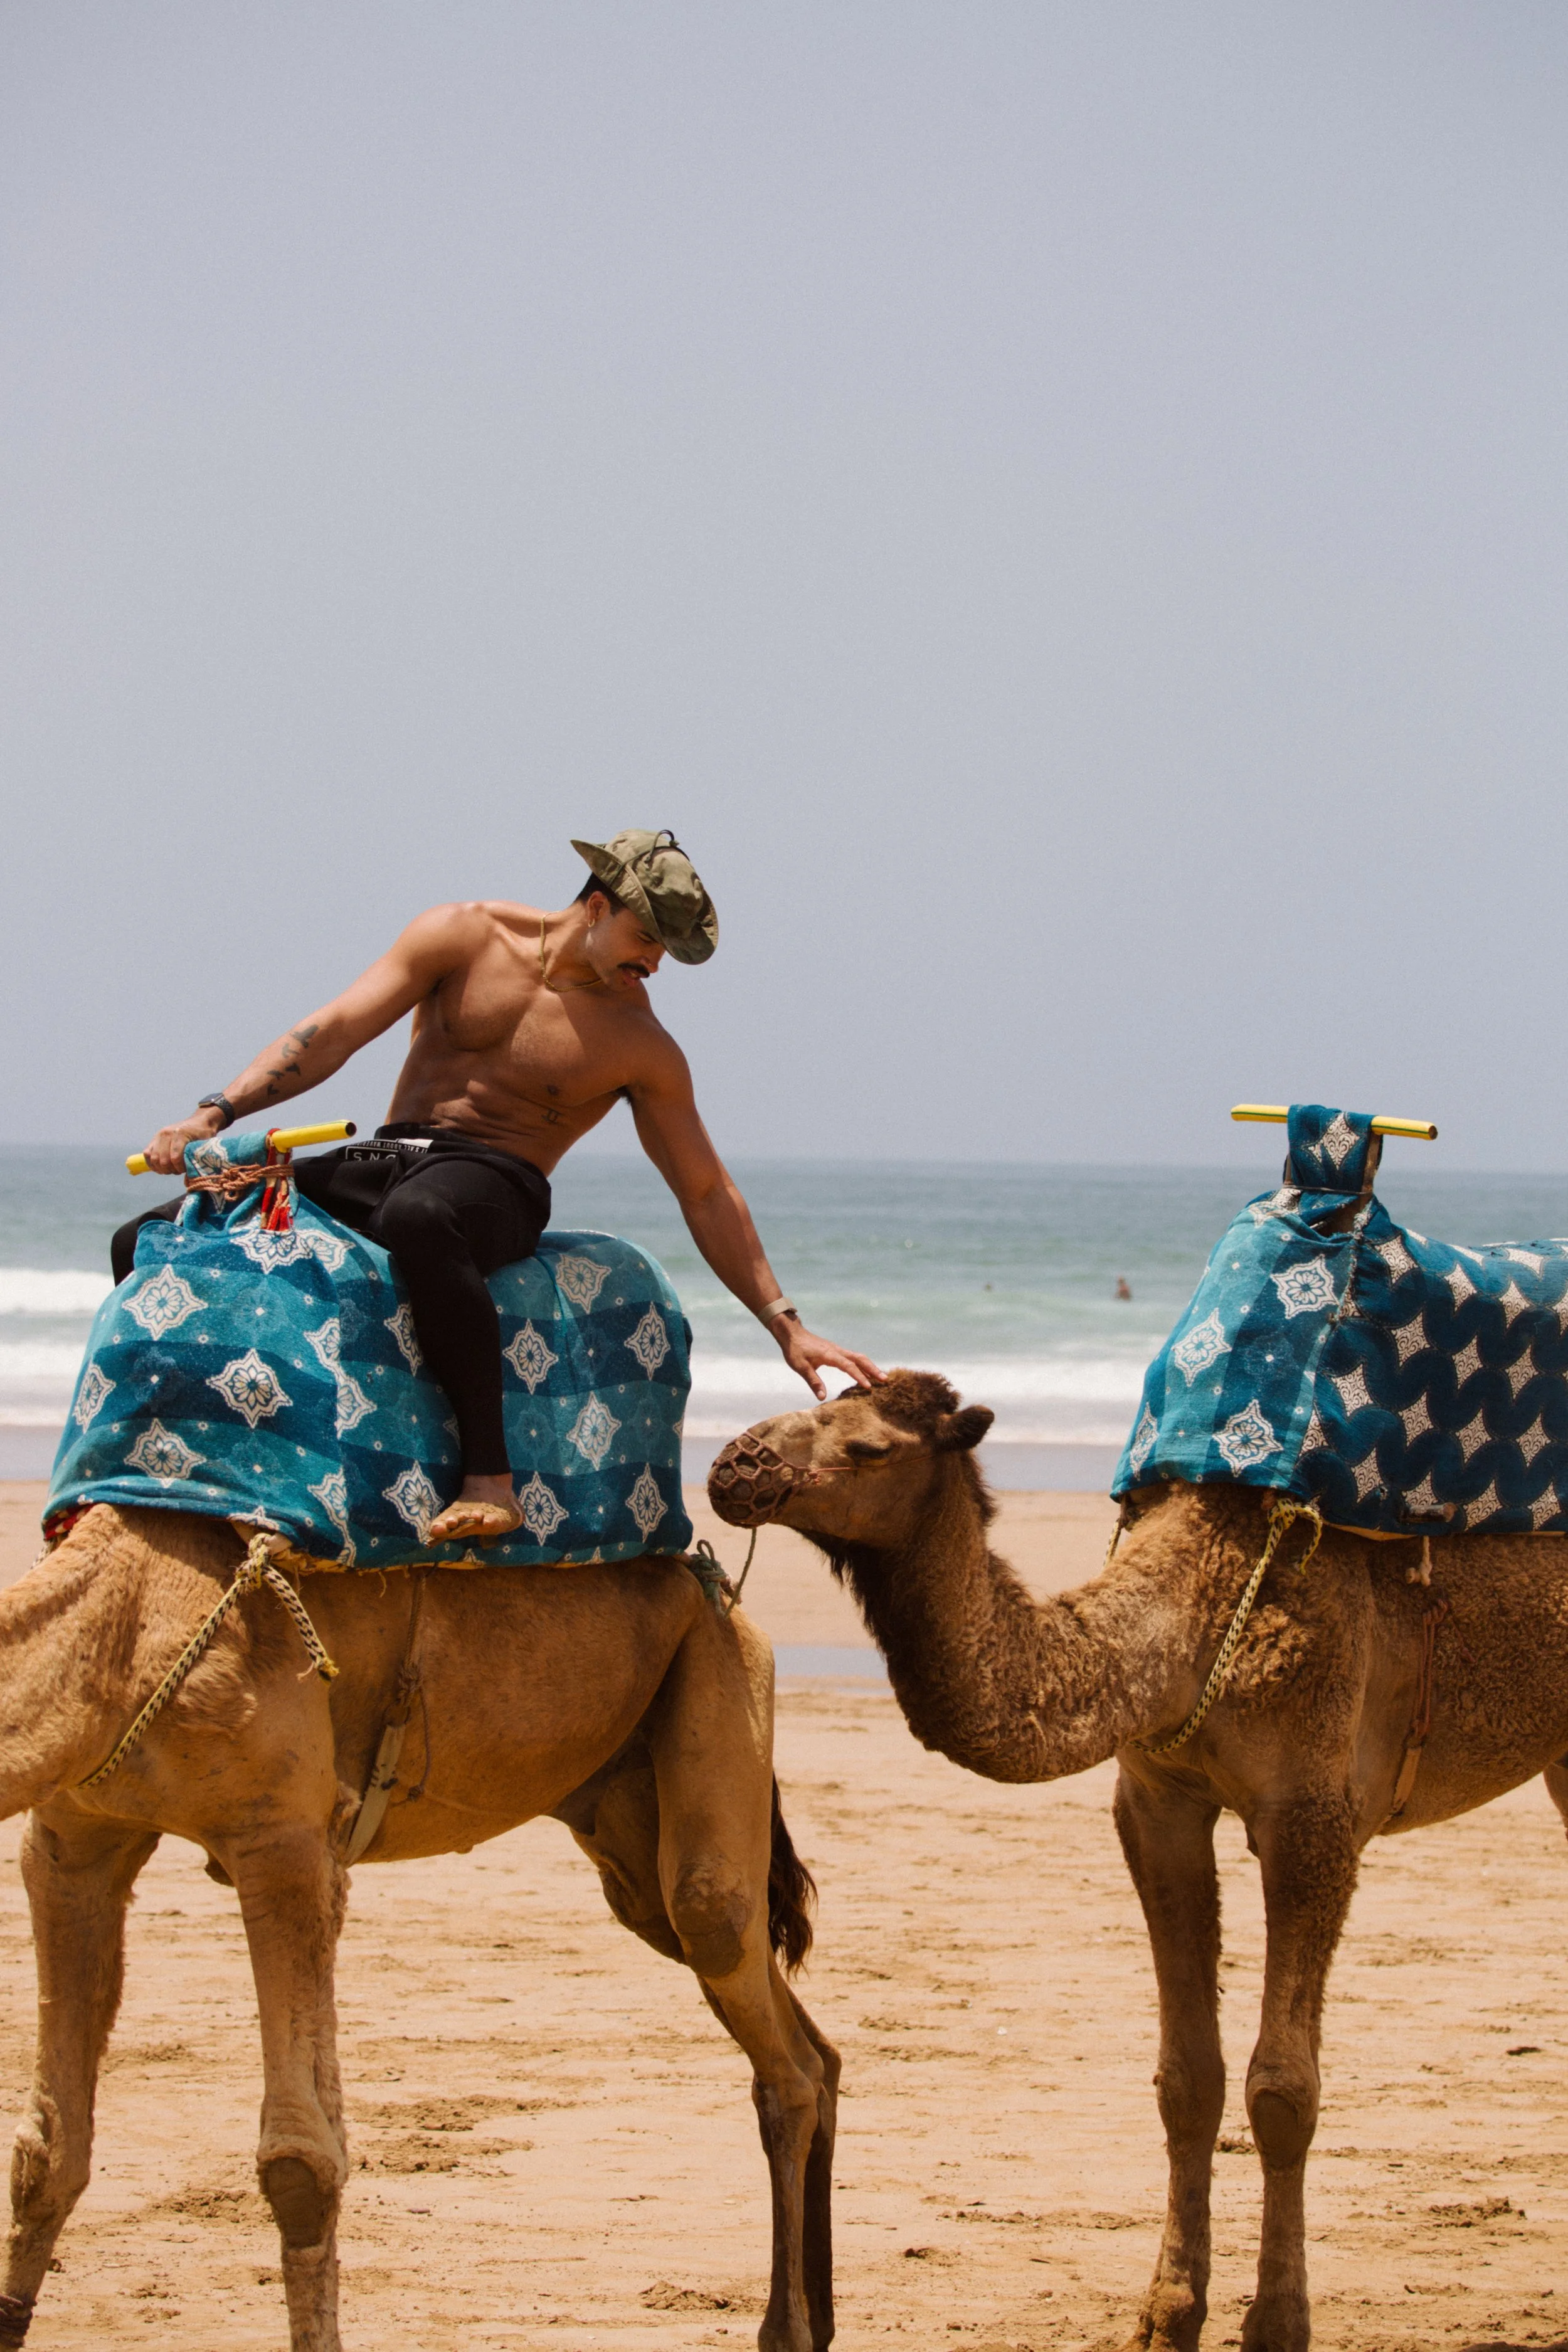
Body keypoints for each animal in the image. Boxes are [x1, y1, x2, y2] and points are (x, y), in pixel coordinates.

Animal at [0, 1503, 838, 2352]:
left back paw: (789, 2329)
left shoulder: (285, 1845)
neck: (124, 1630)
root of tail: (720, 1588)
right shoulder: (74, 1843)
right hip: (627, 1828)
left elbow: (301, 2164)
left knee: (749, 1985)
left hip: (718, 1681)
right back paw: (817, 2313)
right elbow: (47, 2152)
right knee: (802, 2036)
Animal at [708, 1370, 1568, 2352]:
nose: (733, 1464)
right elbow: (1187, 2078)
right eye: (817, 1401)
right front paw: (1166, 2316)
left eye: (867, 1447)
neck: (1190, 1624)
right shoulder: (1158, 1801)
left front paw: (1277, 2324)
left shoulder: (1314, 1815)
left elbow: (1283, 2089)